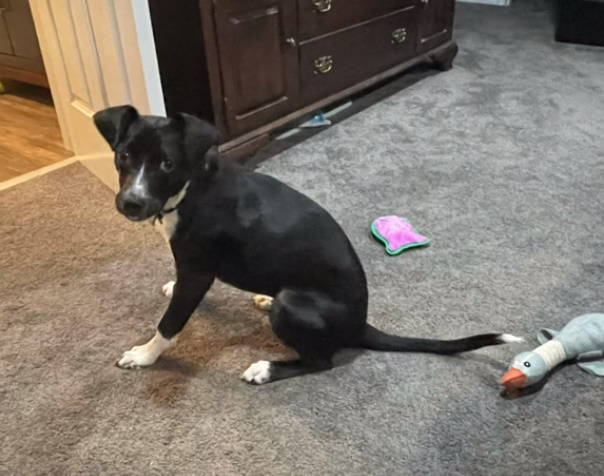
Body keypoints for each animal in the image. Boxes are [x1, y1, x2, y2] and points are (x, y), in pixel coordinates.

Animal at [93, 106, 520, 384]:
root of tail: (360, 324)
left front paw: (144, 356)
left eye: (166, 163)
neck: (191, 187)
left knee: (320, 361)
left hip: (293, 306)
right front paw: (169, 287)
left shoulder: (198, 271)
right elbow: (178, 291)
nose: (131, 203)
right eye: (123, 156)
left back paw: (266, 369)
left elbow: (169, 324)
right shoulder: (191, 268)